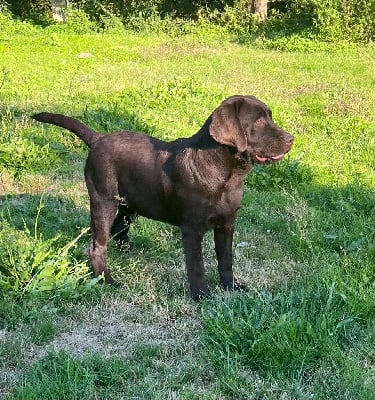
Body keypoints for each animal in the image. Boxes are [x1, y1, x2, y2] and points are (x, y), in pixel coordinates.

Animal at [32, 94, 294, 300]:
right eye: (259, 121)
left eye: (270, 117)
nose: (291, 139)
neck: (224, 173)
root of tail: (98, 139)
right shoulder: (192, 228)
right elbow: (196, 265)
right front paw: (202, 296)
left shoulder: (227, 224)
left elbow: (226, 260)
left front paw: (231, 287)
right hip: (103, 200)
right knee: (97, 245)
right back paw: (107, 281)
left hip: (128, 204)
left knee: (118, 229)